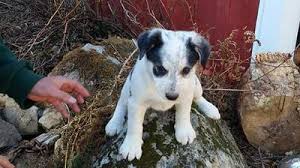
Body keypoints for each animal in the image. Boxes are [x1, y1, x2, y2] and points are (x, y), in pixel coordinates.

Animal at [105, 28, 220, 161]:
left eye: (186, 70)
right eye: (160, 68)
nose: (172, 97)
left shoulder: (185, 96)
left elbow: (184, 114)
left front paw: (184, 130)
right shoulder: (136, 102)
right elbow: (134, 125)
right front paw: (132, 146)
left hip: (195, 84)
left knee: (198, 97)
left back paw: (210, 108)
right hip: (127, 86)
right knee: (121, 104)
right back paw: (114, 123)